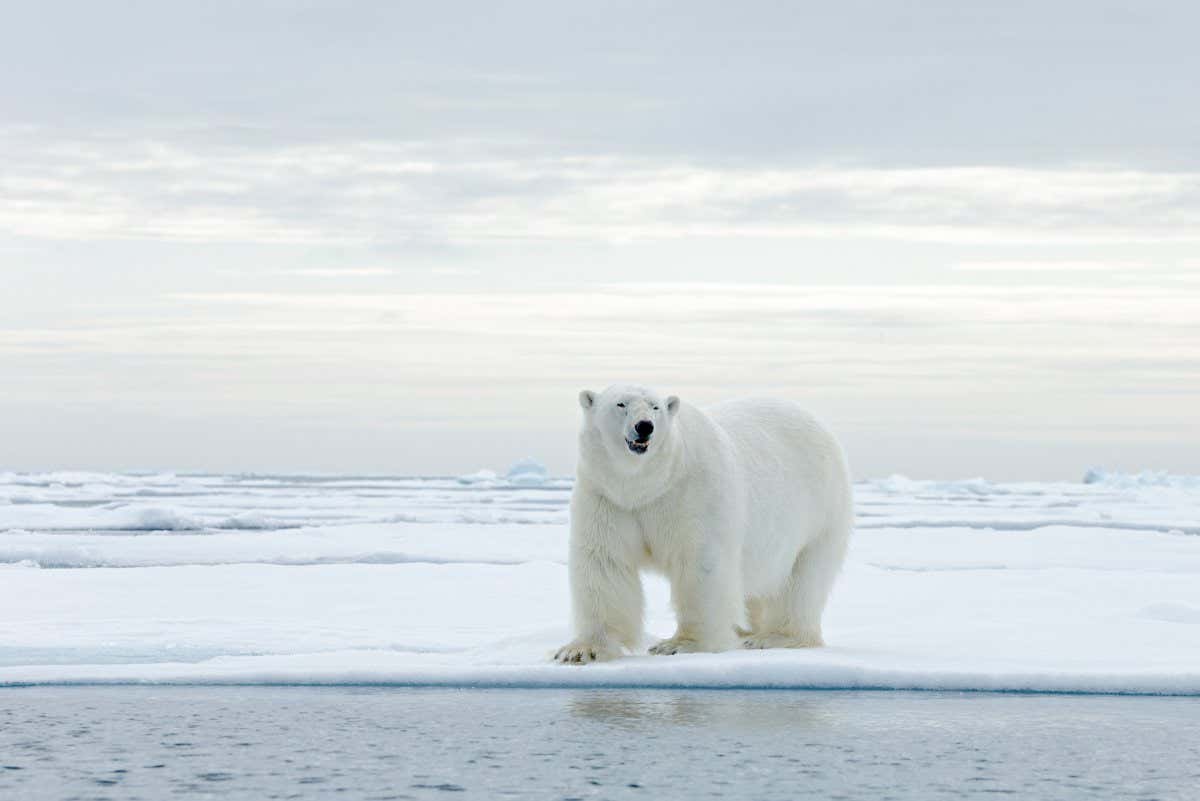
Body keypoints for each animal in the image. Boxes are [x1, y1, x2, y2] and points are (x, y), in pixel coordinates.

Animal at [553, 384, 853, 663]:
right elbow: (605, 561)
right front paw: (581, 650)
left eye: (655, 407)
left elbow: (701, 563)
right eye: (621, 404)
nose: (645, 426)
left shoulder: (692, 492)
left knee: (801, 580)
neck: (648, 485)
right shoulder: (608, 498)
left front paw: (680, 644)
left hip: (819, 512)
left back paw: (772, 637)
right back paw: (745, 631)